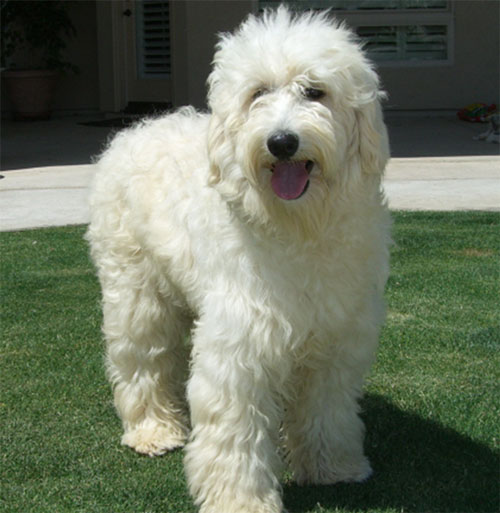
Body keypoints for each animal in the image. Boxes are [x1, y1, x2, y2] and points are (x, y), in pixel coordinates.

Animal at [87, 8, 390, 512]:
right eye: (258, 93)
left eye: (315, 91)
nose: (282, 142)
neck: (297, 227)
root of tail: (139, 127)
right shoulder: (240, 343)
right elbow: (235, 427)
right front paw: (240, 499)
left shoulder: (335, 339)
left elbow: (326, 409)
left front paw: (333, 467)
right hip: (136, 292)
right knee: (142, 360)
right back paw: (154, 430)